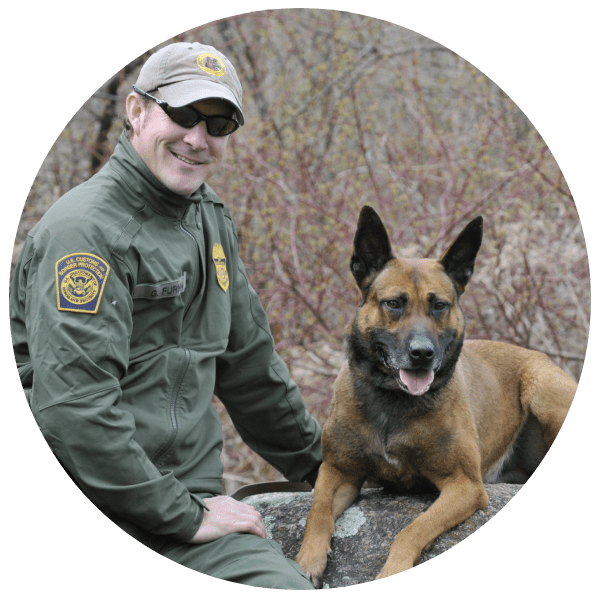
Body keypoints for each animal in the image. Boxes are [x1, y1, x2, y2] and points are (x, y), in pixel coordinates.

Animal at [296, 206, 576, 584]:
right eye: (394, 304)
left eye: (439, 306)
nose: (422, 353)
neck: (394, 401)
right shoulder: (338, 471)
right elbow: (318, 511)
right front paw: (307, 560)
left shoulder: (464, 485)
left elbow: (411, 530)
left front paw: (392, 569)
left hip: (541, 386)